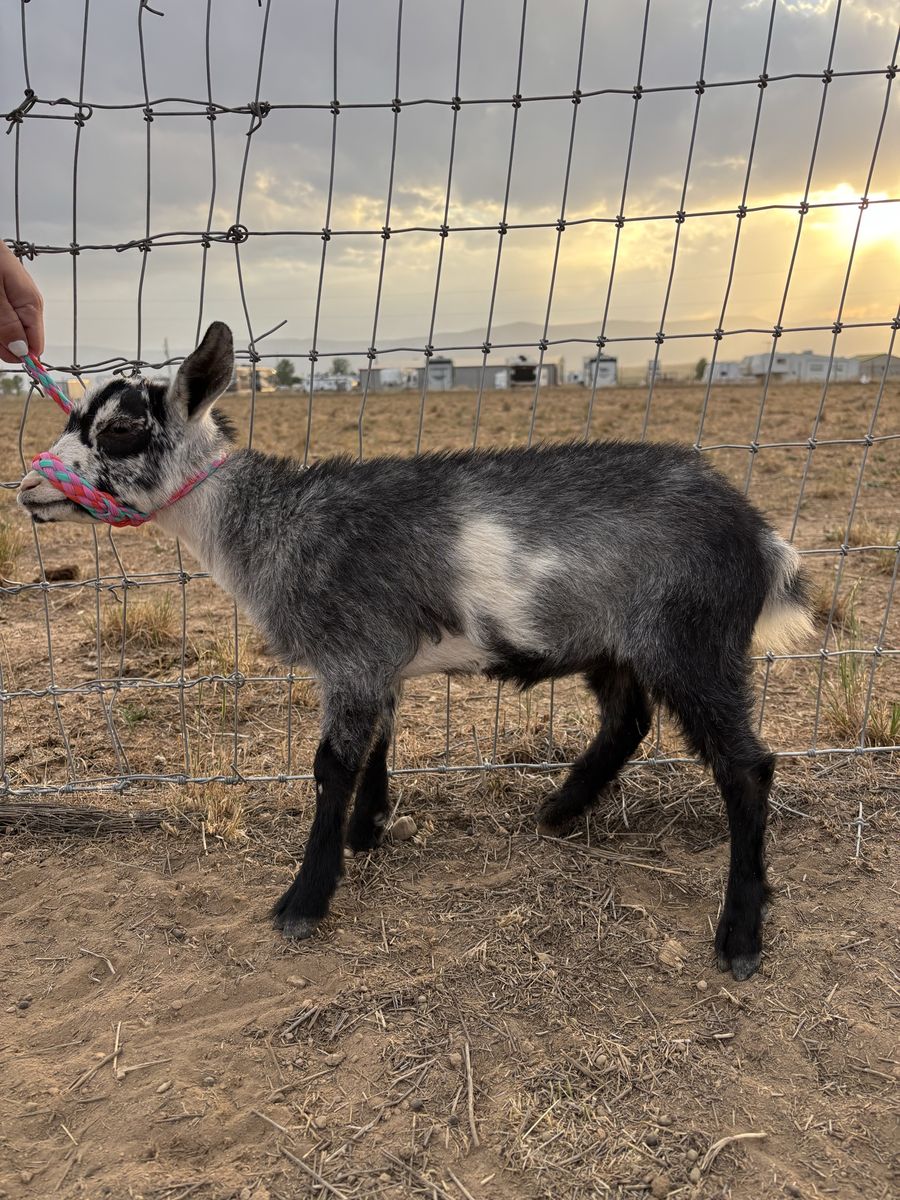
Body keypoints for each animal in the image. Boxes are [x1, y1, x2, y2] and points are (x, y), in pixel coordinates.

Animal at [17, 322, 813, 979]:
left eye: (122, 428)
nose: (27, 487)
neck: (275, 527)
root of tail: (760, 537)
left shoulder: (354, 656)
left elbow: (332, 767)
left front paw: (305, 898)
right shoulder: (379, 662)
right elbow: (377, 745)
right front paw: (367, 832)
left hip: (693, 641)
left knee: (746, 769)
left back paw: (740, 935)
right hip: (615, 642)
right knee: (628, 721)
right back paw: (559, 810)